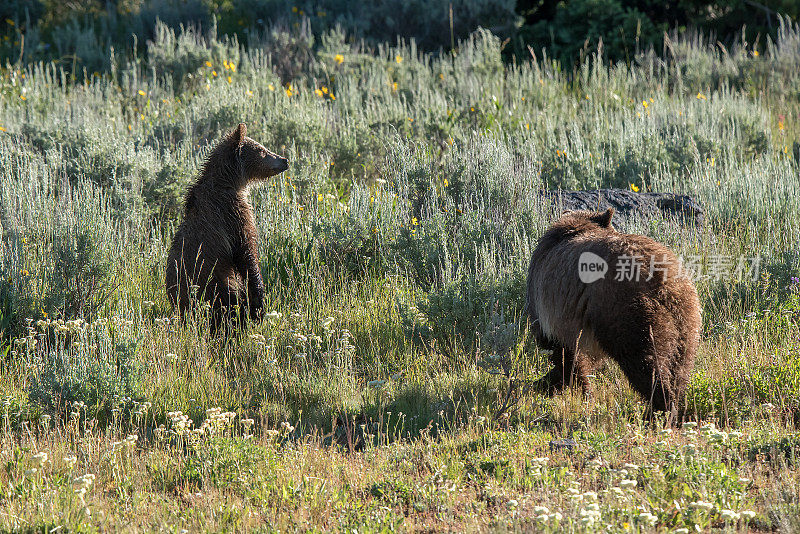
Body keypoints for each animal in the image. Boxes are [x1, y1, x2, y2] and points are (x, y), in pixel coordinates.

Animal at [165, 124, 288, 330]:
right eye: (262, 150)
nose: (285, 160)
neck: (229, 182)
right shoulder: (232, 214)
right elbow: (246, 252)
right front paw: (258, 303)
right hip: (212, 282)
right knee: (226, 303)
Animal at [528, 207, 696, 420]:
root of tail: (664, 281)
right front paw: (548, 382)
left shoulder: (552, 312)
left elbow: (566, 355)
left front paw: (576, 389)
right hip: (686, 318)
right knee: (680, 365)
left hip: (624, 309)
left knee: (644, 360)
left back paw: (657, 410)